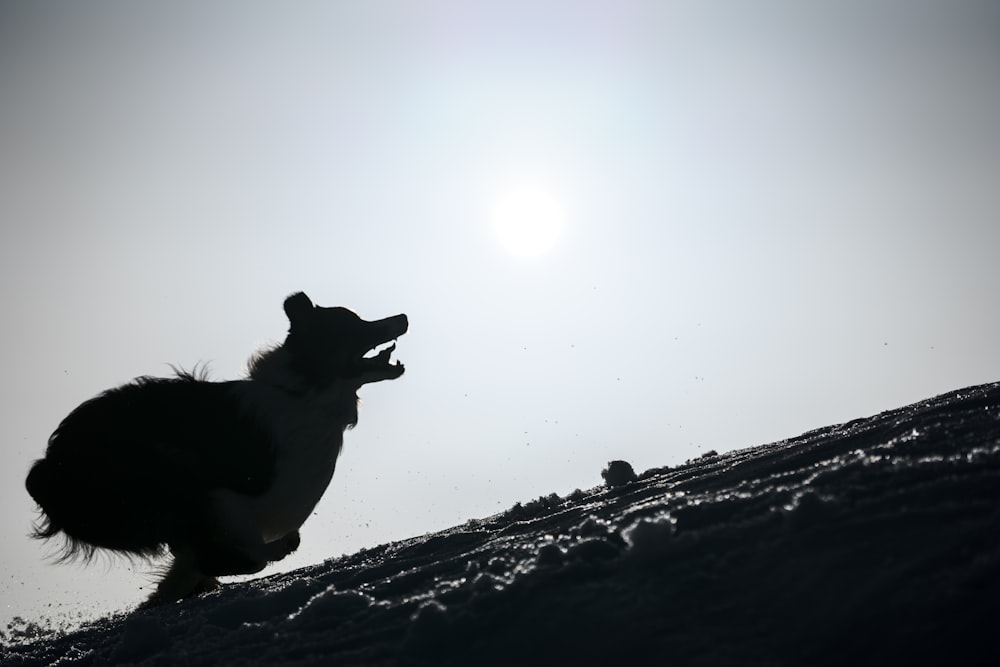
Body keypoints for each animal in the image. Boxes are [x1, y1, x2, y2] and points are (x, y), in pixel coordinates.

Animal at [24, 292, 406, 604]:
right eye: (353, 324)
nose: (402, 317)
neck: (305, 397)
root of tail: (45, 465)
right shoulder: (222, 496)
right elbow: (245, 554)